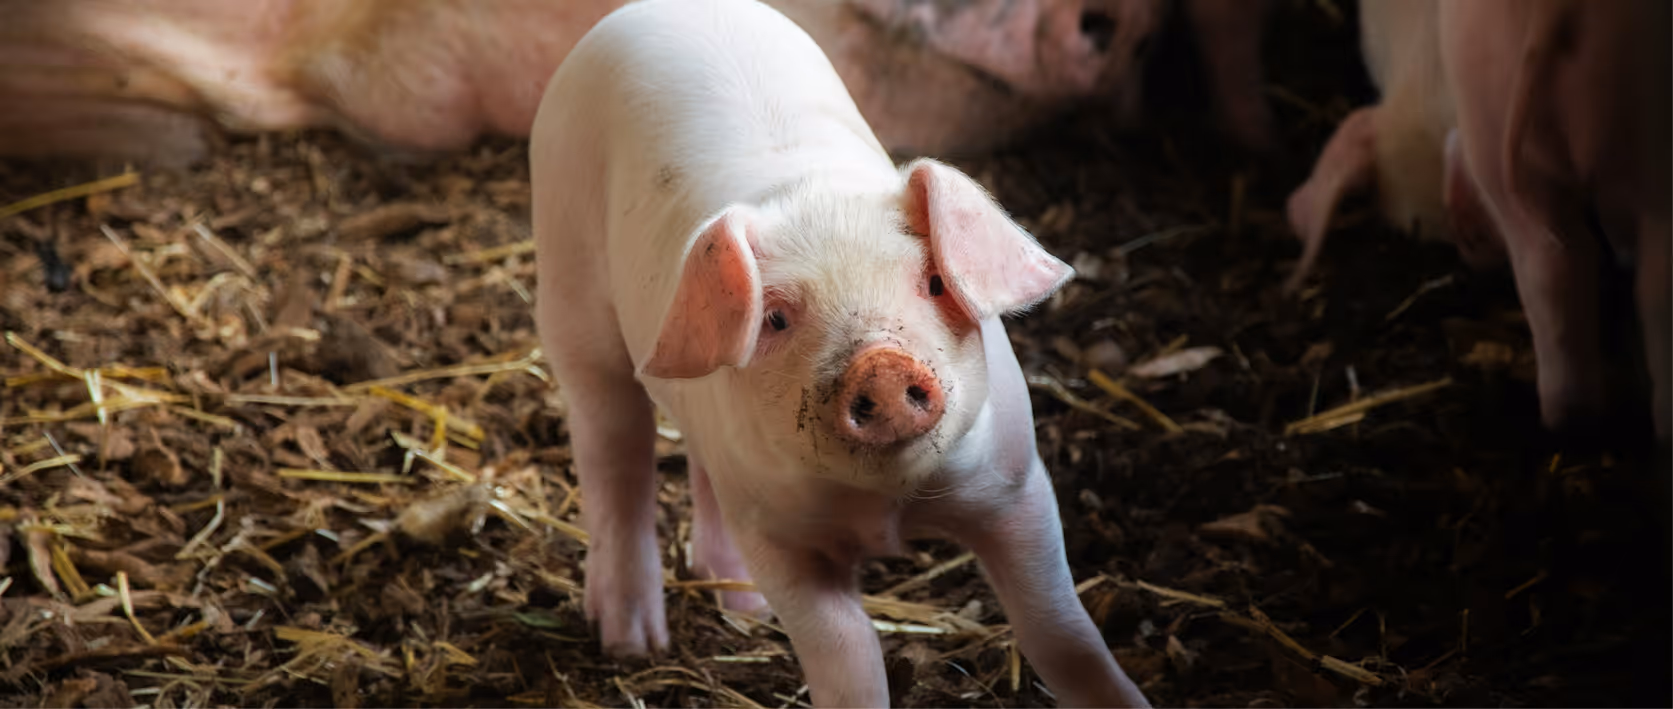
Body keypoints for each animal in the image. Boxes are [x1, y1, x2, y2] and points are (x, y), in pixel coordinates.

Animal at [529, 0, 1152, 706]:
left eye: (934, 282)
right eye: (774, 317)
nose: (880, 365)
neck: (884, 512)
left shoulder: (1015, 488)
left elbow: (1059, 632)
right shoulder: (777, 539)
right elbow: (847, 657)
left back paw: (745, 611)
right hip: (570, 289)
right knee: (614, 457)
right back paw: (632, 643)